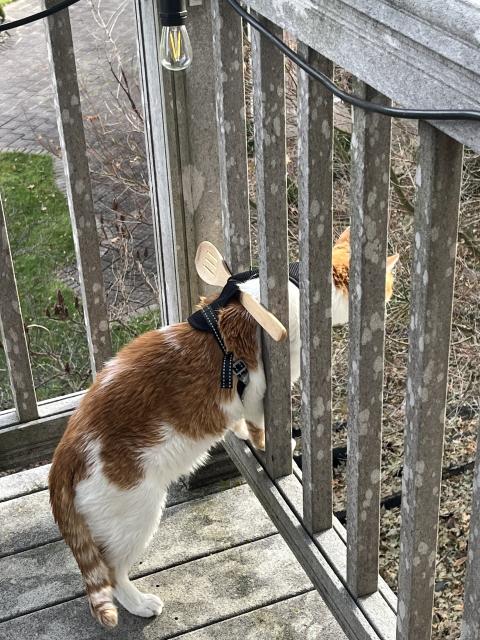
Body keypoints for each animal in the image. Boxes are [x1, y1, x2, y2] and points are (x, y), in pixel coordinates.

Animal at [48, 228, 400, 628]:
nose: (391, 297)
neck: (296, 285)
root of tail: (63, 458)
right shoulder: (258, 391)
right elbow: (260, 426)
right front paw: (272, 444)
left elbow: (241, 426)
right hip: (136, 515)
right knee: (111, 572)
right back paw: (140, 603)